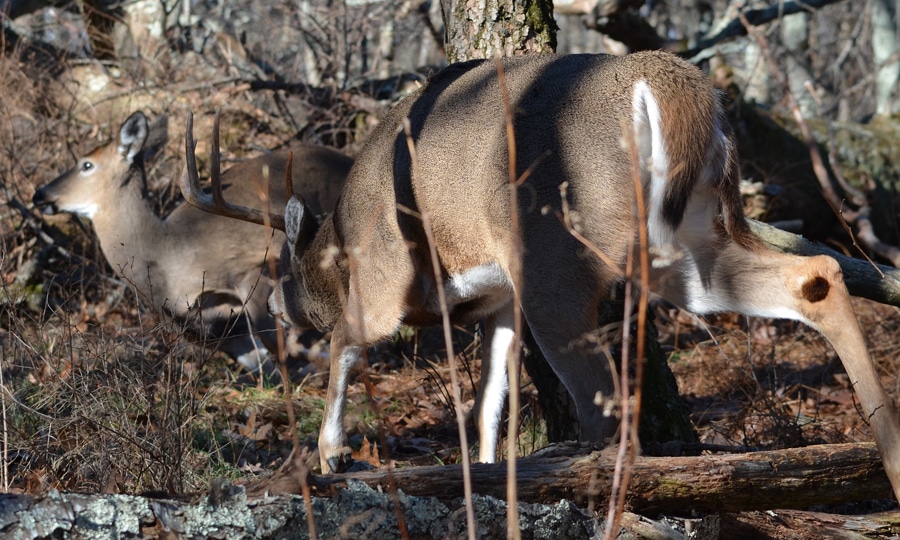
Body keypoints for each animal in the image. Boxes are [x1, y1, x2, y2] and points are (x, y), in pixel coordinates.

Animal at [32, 111, 352, 376]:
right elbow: (262, 366)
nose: (40, 194)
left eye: (86, 164)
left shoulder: (249, 269)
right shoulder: (212, 327)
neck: (167, 253)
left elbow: (279, 343)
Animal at [181, 50, 900, 500]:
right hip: (690, 237)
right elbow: (488, 407)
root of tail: (681, 92)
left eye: (283, 268)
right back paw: (887, 457)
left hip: (567, 257)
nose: (275, 311)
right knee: (816, 273)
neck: (342, 236)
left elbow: (345, 347)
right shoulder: (500, 300)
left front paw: (329, 455)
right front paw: (487, 480)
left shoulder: (386, 279)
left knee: (608, 405)